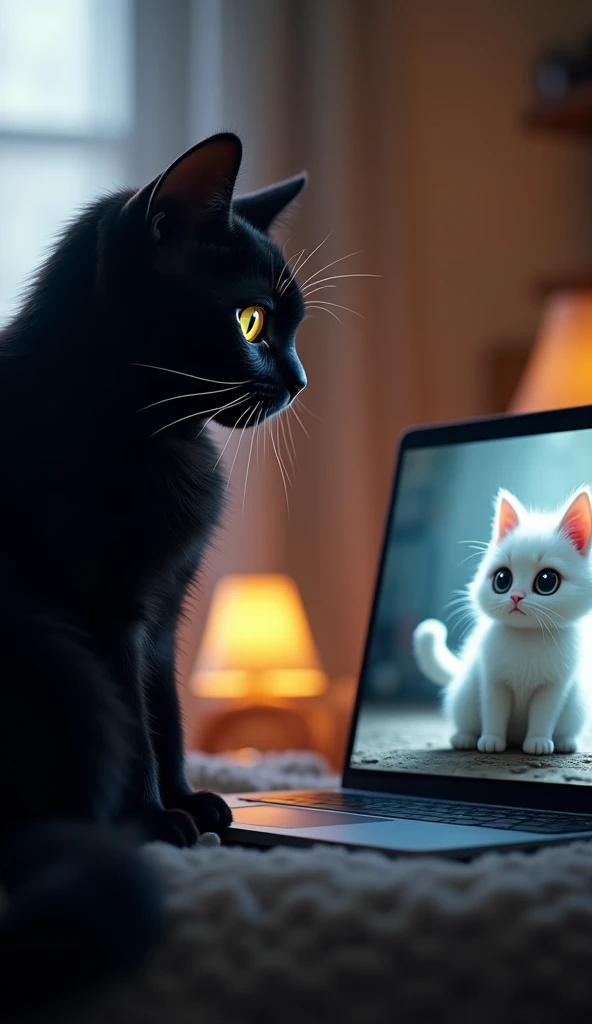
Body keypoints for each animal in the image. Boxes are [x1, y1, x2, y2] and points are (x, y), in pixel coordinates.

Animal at [0, 132, 307, 1011]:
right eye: (250, 320)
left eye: (293, 328)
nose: (299, 380)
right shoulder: (107, 611)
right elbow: (139, 727)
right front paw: (152, 820)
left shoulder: (165, 615)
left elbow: (165, 715)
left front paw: (190, 802)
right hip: (58, 664)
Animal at [411, 487, 592, 753]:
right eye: (502, 579)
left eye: (547, 581)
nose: (515, 596)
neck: (527, 638)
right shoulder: (492, 680)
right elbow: (494, 711)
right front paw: (491, 740)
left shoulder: (554, 687)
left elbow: (544, 714)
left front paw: (538, 741)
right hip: (464, 695)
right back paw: (464, 738)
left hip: (576, 707)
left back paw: (564, 742)